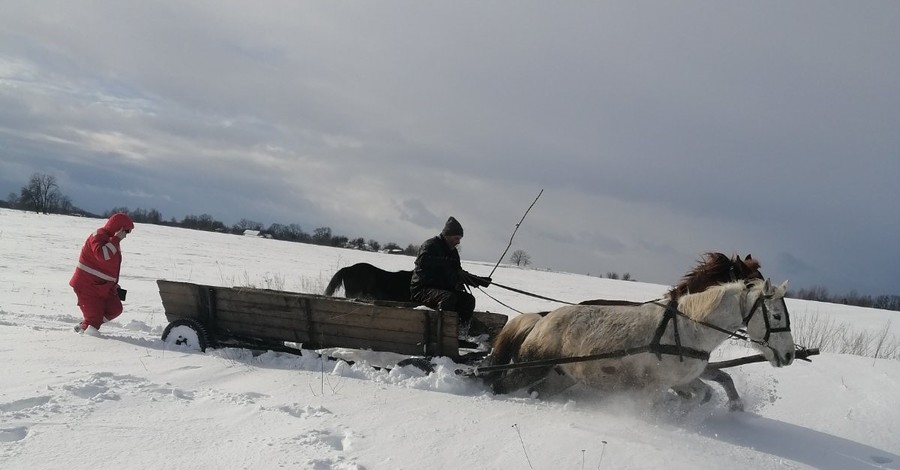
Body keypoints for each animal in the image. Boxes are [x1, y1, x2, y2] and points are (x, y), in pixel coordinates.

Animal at [482, 280, 792, 408]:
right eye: (777, 315)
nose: (789, 355)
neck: (687, 329)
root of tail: (542, 319)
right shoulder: (658, 384)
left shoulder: (682, 380)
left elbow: (707, 391)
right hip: (530, 368)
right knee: (499, 385)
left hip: (560, 377)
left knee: (537, 392)